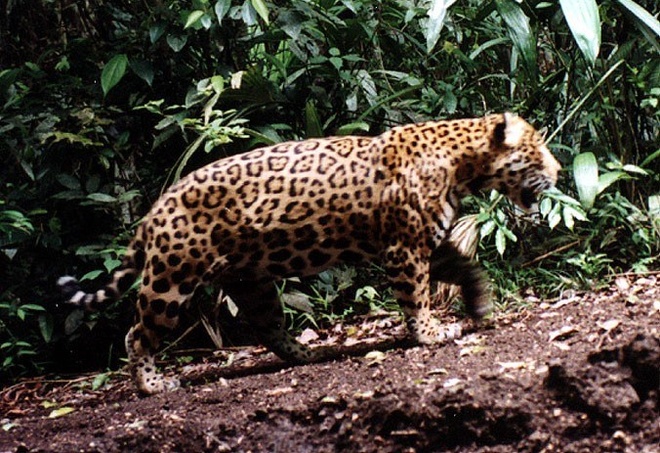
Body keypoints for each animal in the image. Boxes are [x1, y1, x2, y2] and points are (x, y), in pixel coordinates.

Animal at [58, 112, 561, 394]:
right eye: (538, 150)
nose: (559, 172)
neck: (464, 165)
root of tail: (153, 211)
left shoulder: (428, 244)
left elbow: (466, 267)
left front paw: (479, 304)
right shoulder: (405, 247)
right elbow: (416, 296)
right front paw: (429, 334)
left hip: (251, 280)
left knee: (266, 325)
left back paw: (307, 354)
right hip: (172, 278)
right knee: (137, 335)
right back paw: (153, 385)